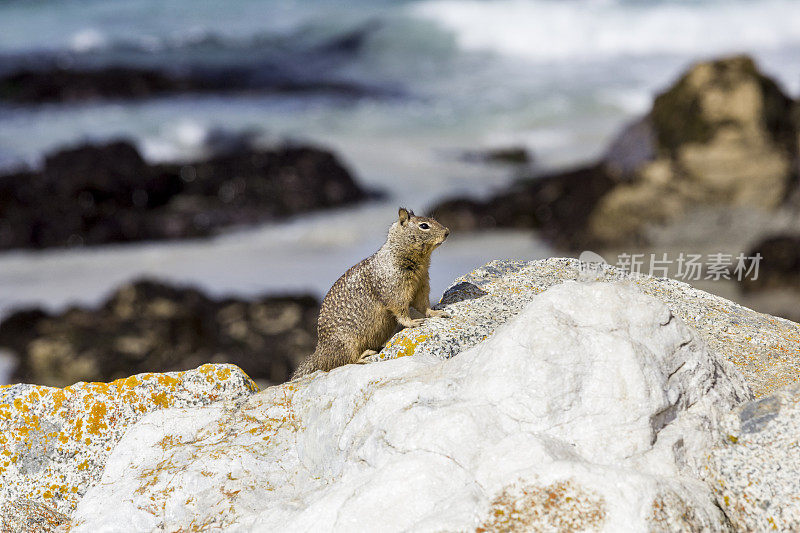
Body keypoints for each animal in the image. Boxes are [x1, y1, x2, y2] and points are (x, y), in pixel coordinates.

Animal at [292, 206, 450, 376]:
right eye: (424, 226)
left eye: (432, 220)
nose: (447, 231)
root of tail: (319, 353)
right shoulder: (395, 288)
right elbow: (400, 308)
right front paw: (412, 322)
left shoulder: (422, 285)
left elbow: (423, 304)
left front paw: (436, 313)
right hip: (347, 342)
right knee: (344, 360)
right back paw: (364, 355)